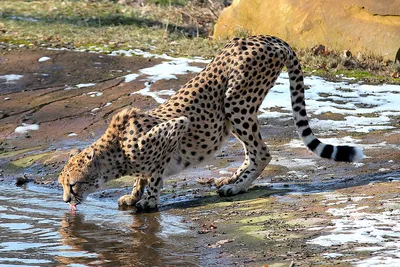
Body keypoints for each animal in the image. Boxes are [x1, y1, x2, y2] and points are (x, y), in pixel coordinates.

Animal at [58, 35, 362, 211]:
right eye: (62, 184)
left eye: (72, 185)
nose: (65, 200)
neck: (116, 150)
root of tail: (270, 38)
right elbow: (141, 177)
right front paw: (133, 196)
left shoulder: (175, 129)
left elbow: (154, 172)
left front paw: (149, 200)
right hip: (234, 114)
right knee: (251, 152)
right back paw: (233, 178)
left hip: (236, 103)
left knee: (262, 152)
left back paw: (237, 187)